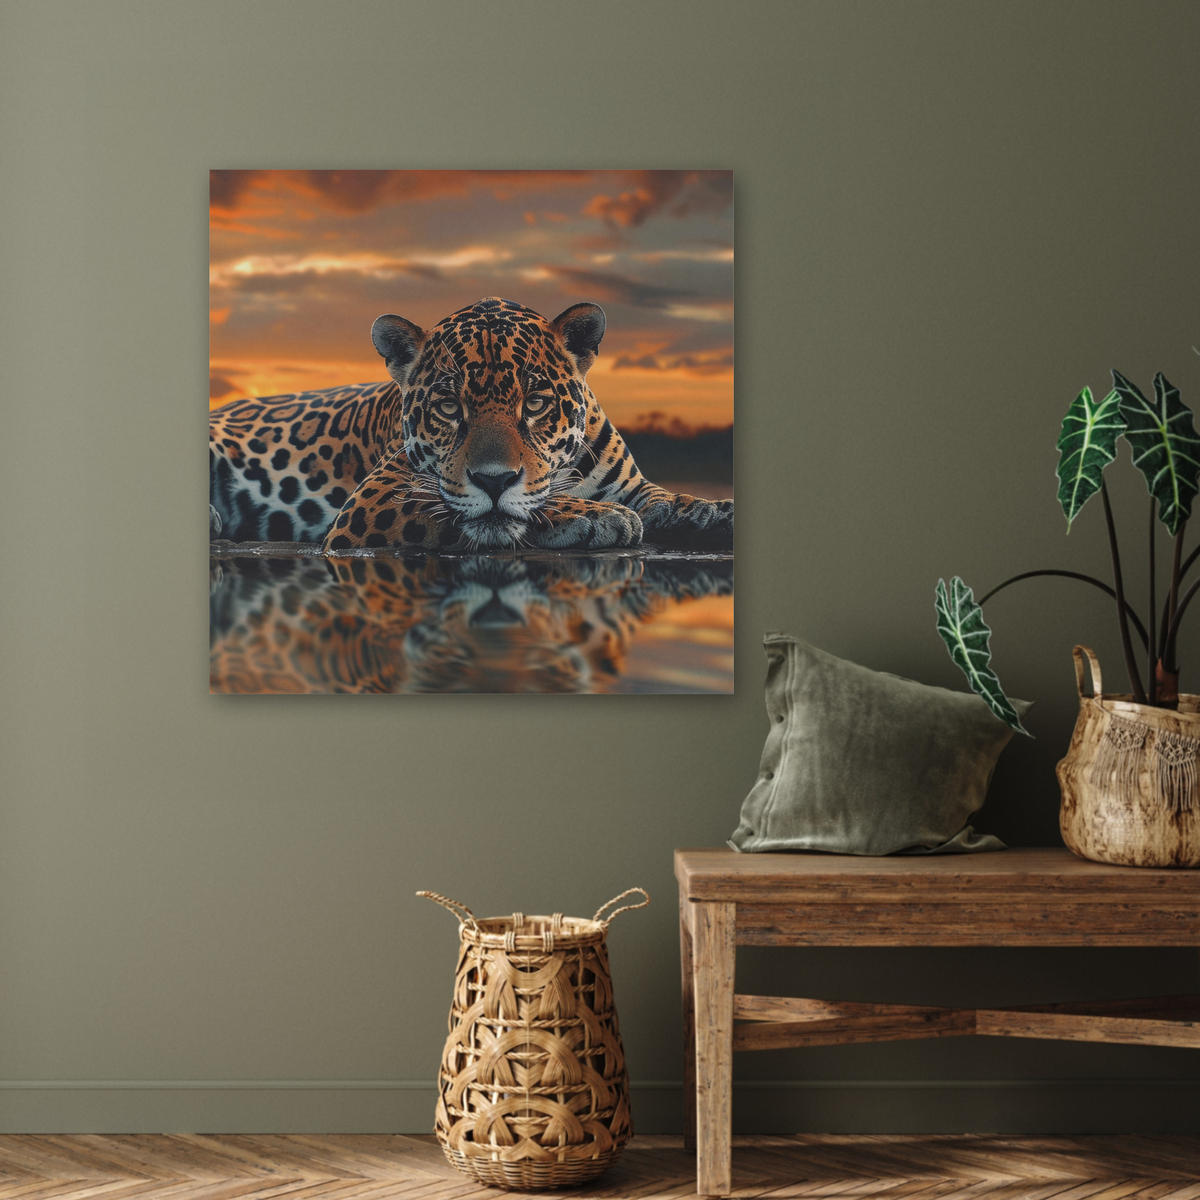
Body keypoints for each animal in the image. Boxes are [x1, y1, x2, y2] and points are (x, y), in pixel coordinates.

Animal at [209, 297, 733, 552]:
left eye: (535, 402)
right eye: (448, 407)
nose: (493, 481)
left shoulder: (634, 486)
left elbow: (668, 498)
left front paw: (713, 511)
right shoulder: (375, 498)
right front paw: (597, 516)